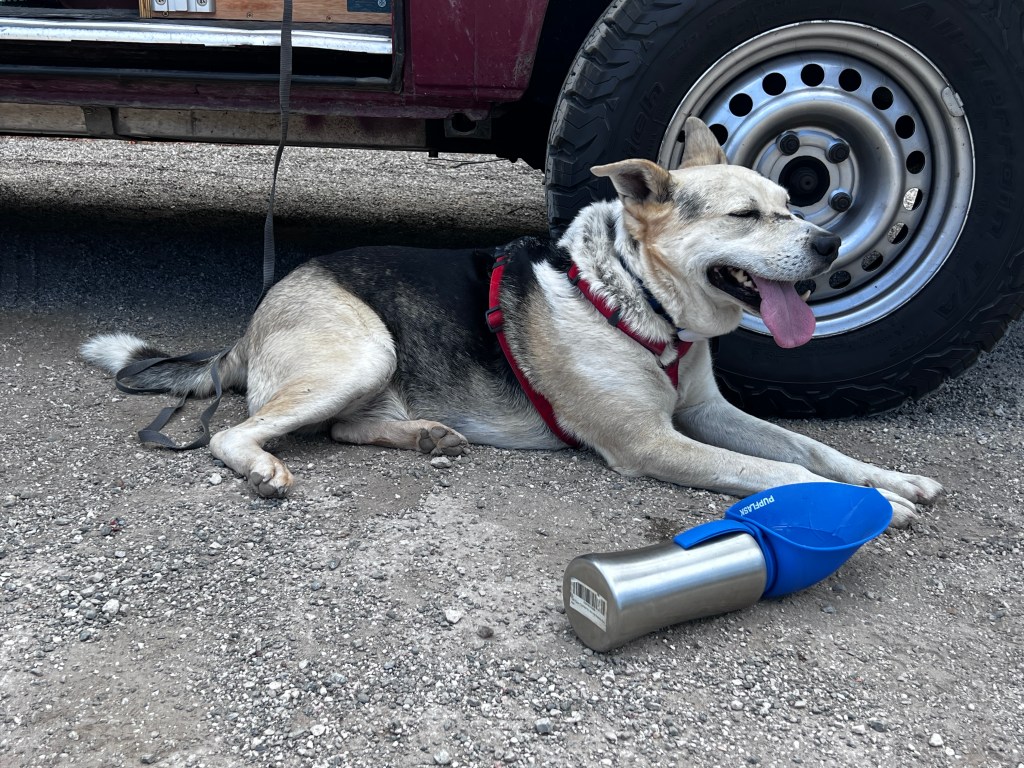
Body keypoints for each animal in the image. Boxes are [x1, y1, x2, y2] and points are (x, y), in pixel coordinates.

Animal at [81, 117, 943, 527]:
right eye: (744, 215)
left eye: (793, 203)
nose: (831, 242)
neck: (638, 299)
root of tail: (255, 316)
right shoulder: (652, 441)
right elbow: (781, 473)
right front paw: (874, 507)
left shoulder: (704, 411)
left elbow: (811, 447)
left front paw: (890, 480)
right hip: (363, 350)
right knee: (237, 431)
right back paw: (264, 466)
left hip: (374, 372)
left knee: (346, 427)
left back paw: (426, 435)